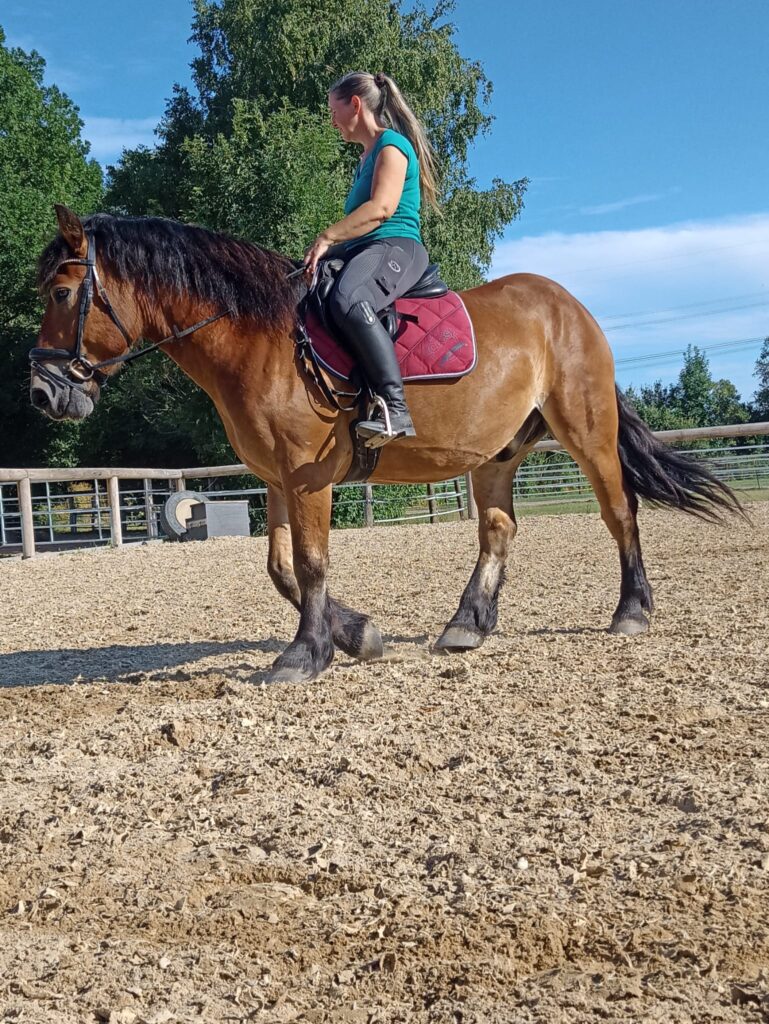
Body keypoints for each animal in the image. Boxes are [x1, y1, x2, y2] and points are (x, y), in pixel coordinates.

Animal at [29, 205, 741, 683]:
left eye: (63, 293)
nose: (43, 393)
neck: (258, 339)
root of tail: (571, 307)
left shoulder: (307, 475)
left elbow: (310, 565)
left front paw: (306, 655)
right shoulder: (277, 478)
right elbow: (281, 568)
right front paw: (359, 635)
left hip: (586, 432)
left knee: (620, 513)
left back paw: (632, 612)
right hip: (496, 454)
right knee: (498, 529)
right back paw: (465, 625)